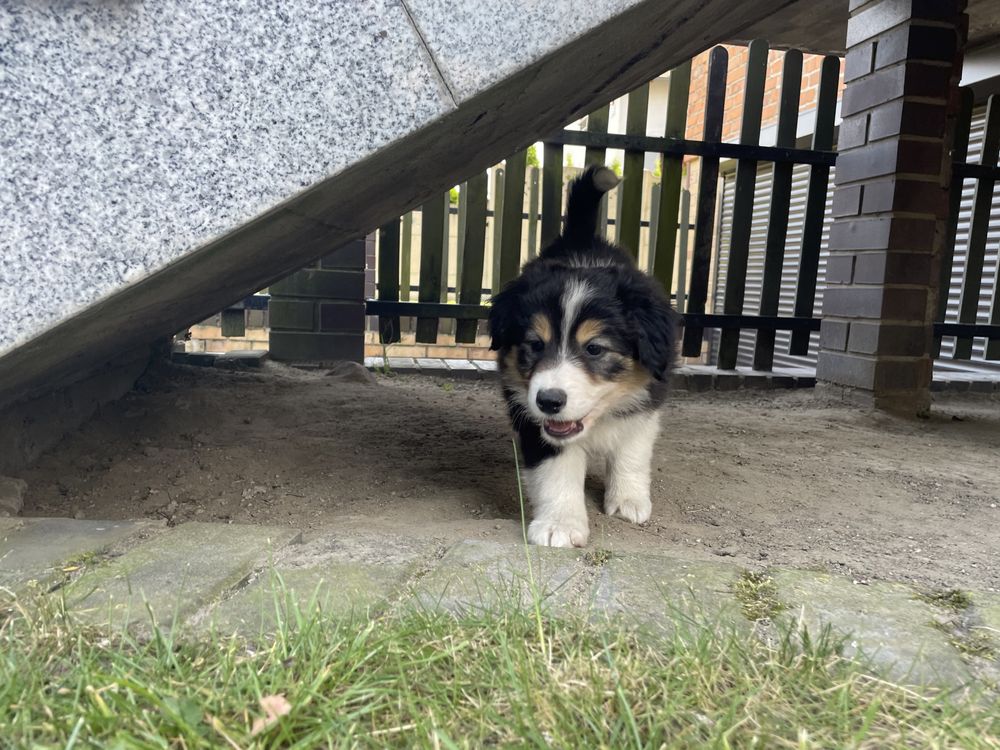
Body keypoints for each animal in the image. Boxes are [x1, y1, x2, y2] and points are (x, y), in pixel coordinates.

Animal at [488, 167, 676, 548]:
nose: (549, 401)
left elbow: (632, 449)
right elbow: (557, 469)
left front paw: (629, 500)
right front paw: (559, 524)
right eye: (535, 344)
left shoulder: (648, 399)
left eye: (594, 349)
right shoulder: (528, 413)